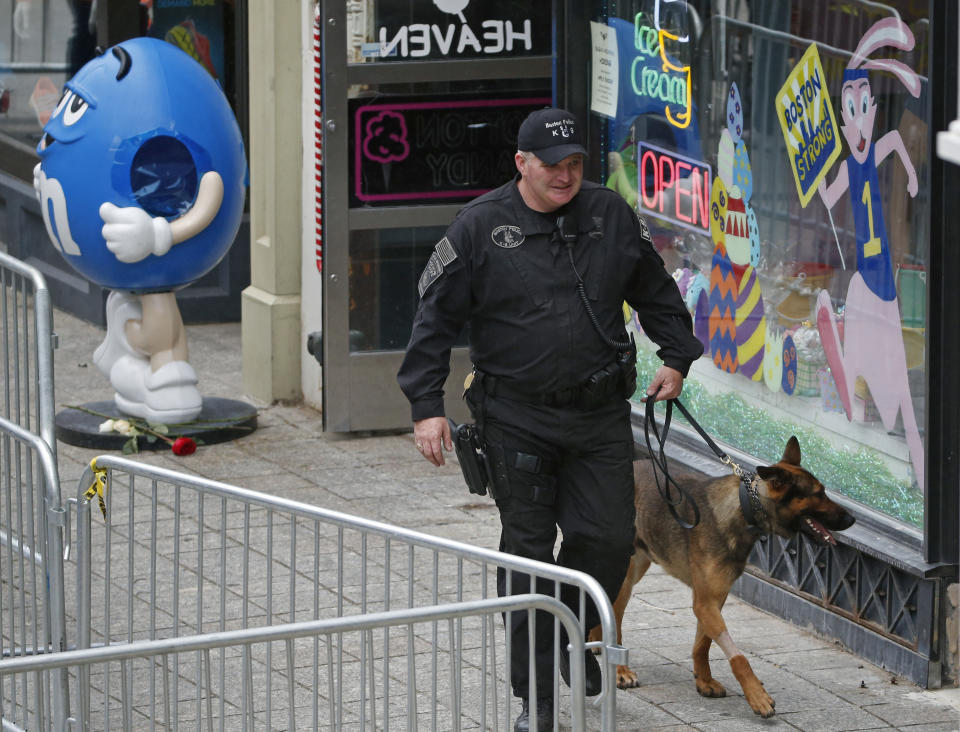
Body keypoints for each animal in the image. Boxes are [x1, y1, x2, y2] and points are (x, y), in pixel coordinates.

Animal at [592, 438, 856, 716]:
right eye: (818, 494)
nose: (852, 519)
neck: (744, 508)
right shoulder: (704, 603)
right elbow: (738, 656)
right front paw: (756, 694)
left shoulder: (714, 600)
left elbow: (703, 645)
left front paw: (704, 680)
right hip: (626, 577)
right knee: (616, 616)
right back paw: (619, 670)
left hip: (638, 565)